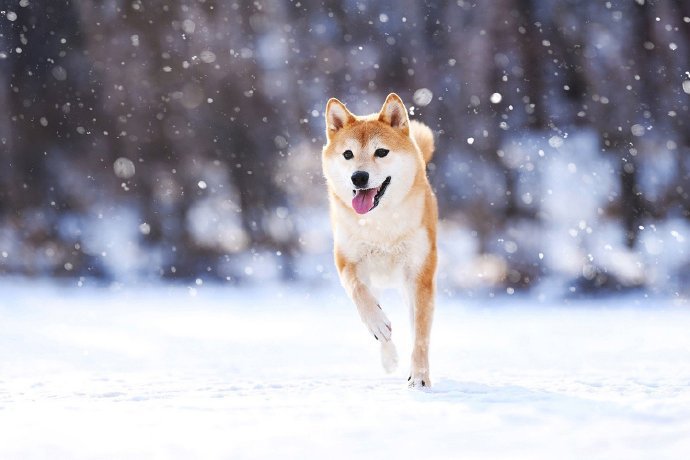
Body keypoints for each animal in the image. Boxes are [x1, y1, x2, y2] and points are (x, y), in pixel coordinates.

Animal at [322, 93, 436, 388]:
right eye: (347, 154)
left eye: (381, 152)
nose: (359, 177)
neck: (380, 226)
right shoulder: (347, 262)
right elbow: (359, 294)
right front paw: (378, 325)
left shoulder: (420, 274)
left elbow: (421, 335)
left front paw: (419, 378)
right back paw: (389, 356)